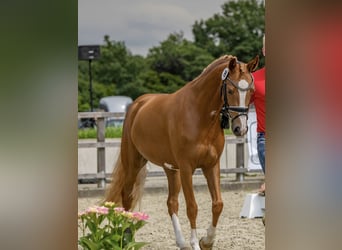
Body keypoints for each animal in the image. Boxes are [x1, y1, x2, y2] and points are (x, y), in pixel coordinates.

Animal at [105, 54, 258, 250]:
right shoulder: (187, 169)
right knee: (127, 196)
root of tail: (138, 104)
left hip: (171, 169)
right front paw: (195, 244)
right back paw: (125, 237)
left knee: (171, 202)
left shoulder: (211, 166)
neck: (199, 115)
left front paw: (206, 241)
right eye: (231, 90)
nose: (241, 129)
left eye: (251, 91)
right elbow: (192, 207)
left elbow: (218, 204)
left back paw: (181, 242)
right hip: (134, 163)